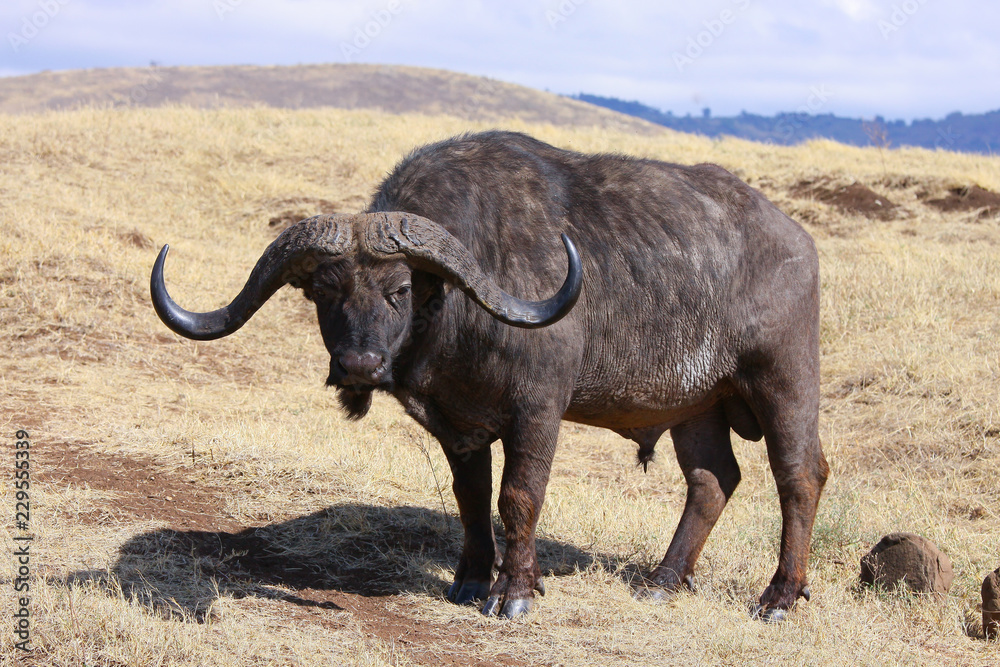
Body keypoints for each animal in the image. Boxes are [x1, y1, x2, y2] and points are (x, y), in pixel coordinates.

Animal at [150, 129, 828, 620]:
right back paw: (663, 581)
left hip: (784, 380)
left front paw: (515, 591)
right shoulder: (457, 423)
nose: (359, 366)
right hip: (695, 406)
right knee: (712, 480)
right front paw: (473, 578)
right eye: (323, 292)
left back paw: (778, 597)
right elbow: (471, 496)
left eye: (399, 289)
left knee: (800, 475)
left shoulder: (539, 410)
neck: (459, 314)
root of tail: (796, 240)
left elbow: (518, 496)